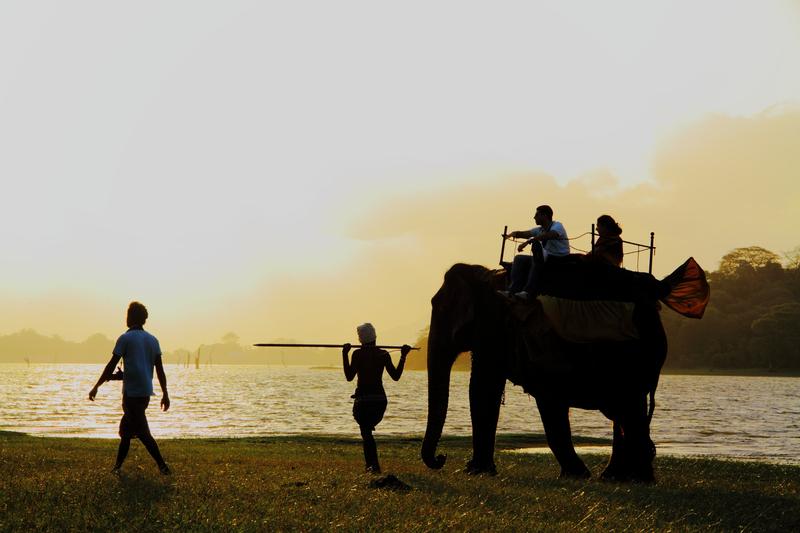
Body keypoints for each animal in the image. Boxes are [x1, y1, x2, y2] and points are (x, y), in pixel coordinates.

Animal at [418, 262, 680, 482]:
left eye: (440, 309)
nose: (441, 459)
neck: (485, 275)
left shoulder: (494, 328)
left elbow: (485, 388)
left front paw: (474, 471)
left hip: (628, 357)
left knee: (626, 410)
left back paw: (635, 478)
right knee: (628, 412)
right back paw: (621, 476)